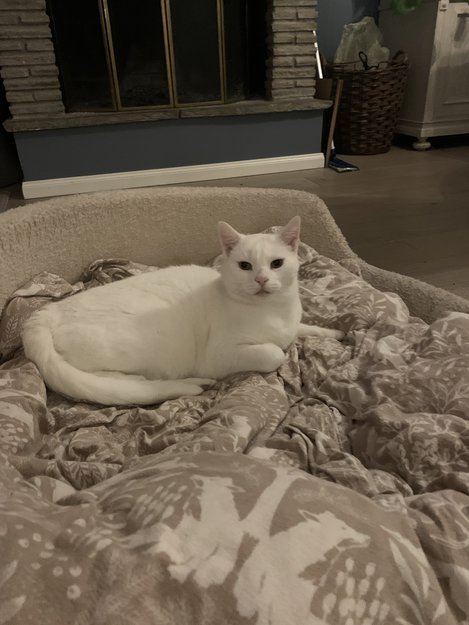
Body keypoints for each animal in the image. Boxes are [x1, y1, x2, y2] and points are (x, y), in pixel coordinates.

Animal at [22, 216, 343, 406]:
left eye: (276, 264)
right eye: (245, 266)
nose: (261, 280)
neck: (273, 311)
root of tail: (47, 312)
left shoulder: (291, 323)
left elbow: (302, 328)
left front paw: (334, 333)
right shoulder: (221, 355)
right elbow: (274, 352)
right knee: (112, 380)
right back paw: (181, 384)